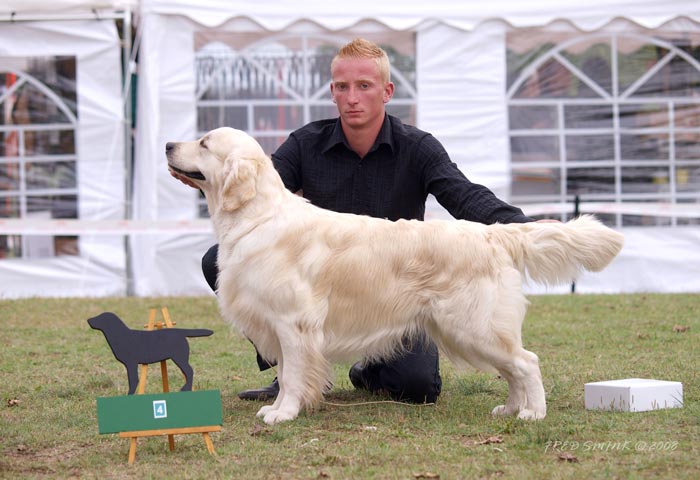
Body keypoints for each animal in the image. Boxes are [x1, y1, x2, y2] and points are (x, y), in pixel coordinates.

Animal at [167, 126, 628, 424]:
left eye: (205, 142)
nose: (169, 144)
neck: (258, 216)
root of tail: (491, 234)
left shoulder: (293, 323)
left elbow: (294, 375)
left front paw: (284, 414)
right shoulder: (279, 325)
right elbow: (285, 375)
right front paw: (280, 406)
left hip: (474, 325)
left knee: (526, 362)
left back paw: (533, 412)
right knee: (513, 369)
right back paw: (511, 408)